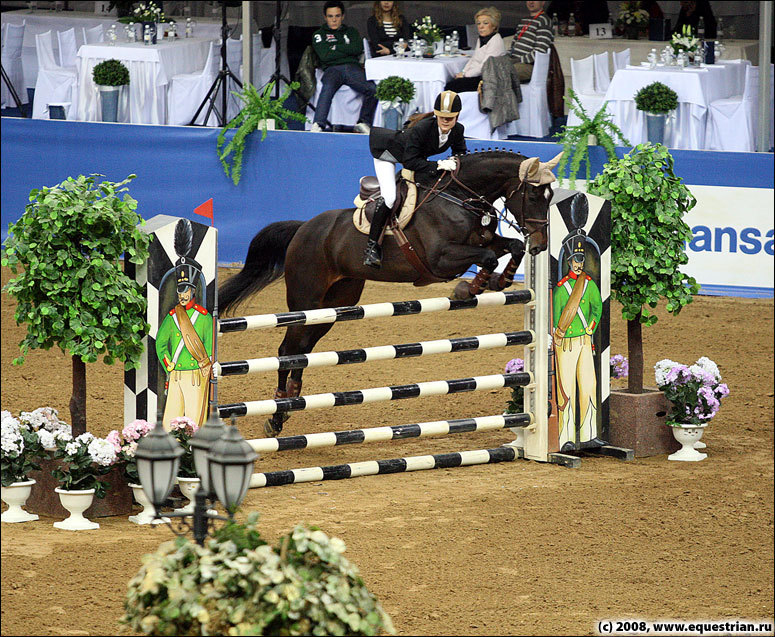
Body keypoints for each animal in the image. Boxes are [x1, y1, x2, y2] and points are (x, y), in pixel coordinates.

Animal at [218, 150, 564, 438]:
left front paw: (500, 280)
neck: (458, 198)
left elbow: (510, 247)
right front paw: (472, 286)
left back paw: (290, 399)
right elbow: (488, 257)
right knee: (286, 349)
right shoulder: (441, 258)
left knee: (302, 349)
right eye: (535, 194)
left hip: (333, 306)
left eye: (550, 197)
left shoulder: (485, 241)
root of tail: (303, 228)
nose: (541, 244)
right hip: (306, 302)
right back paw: (277, 414)